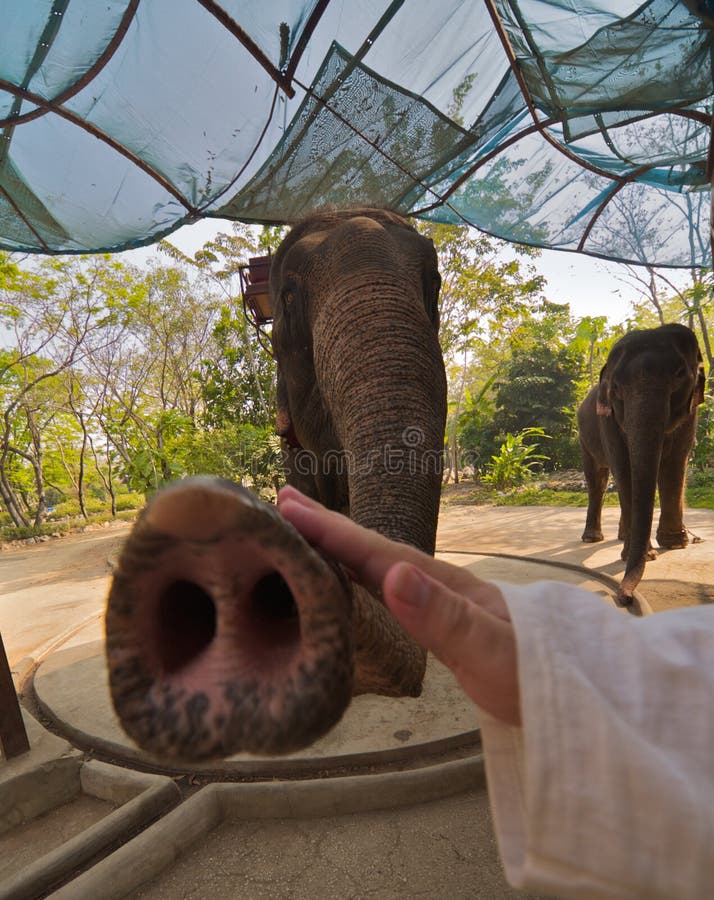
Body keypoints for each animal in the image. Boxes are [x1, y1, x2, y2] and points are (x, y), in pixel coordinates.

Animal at [578, 323, 705, 604]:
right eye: (615, 387)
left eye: (680, 375)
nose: (625, 597)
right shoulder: (607, 419)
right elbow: (623, 466)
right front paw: (649, 554)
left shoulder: (691, 411)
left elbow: (675, 462)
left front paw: (674, 544)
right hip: (583, 438)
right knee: (598, 481)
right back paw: (592, 538)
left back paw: (623, 537)